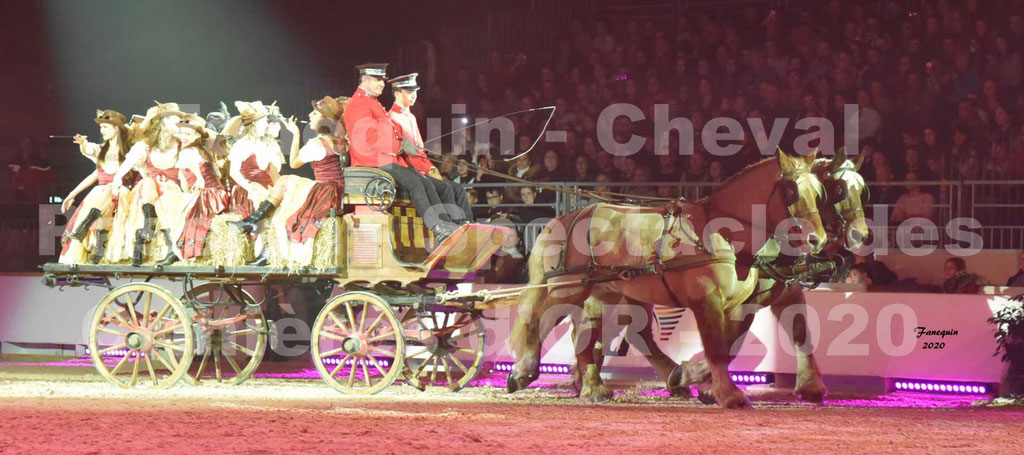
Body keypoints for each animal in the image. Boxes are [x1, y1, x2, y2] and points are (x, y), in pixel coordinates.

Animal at [507, 150, 827, 407]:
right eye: (791, 191)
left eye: (818, 193)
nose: (818, 239)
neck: (722, 232)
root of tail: (567, 217)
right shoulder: (706, 300)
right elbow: (717, 349)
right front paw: (727, 394)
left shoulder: (740, 304)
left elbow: (732, 345)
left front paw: (692, 378)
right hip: (570, 288)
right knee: (541, 318)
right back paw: (527, 372)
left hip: (605, 291)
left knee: (592, 332)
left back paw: (589, 385)